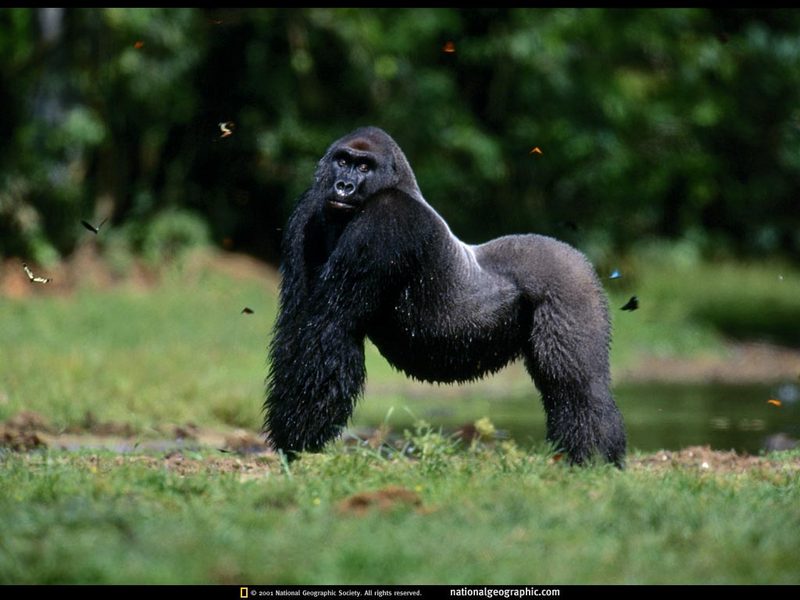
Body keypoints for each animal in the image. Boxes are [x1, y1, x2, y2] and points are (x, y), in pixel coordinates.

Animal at [266, 125, 628, 464]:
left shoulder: (387, 217)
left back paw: (595, 458)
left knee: (578, 386)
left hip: (570, 283)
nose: (344, 186)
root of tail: (578, 257)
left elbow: (332, 329)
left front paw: (298, 442)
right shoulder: (310, 206)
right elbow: (297, 324)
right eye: (342, 161)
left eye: (364, 166)